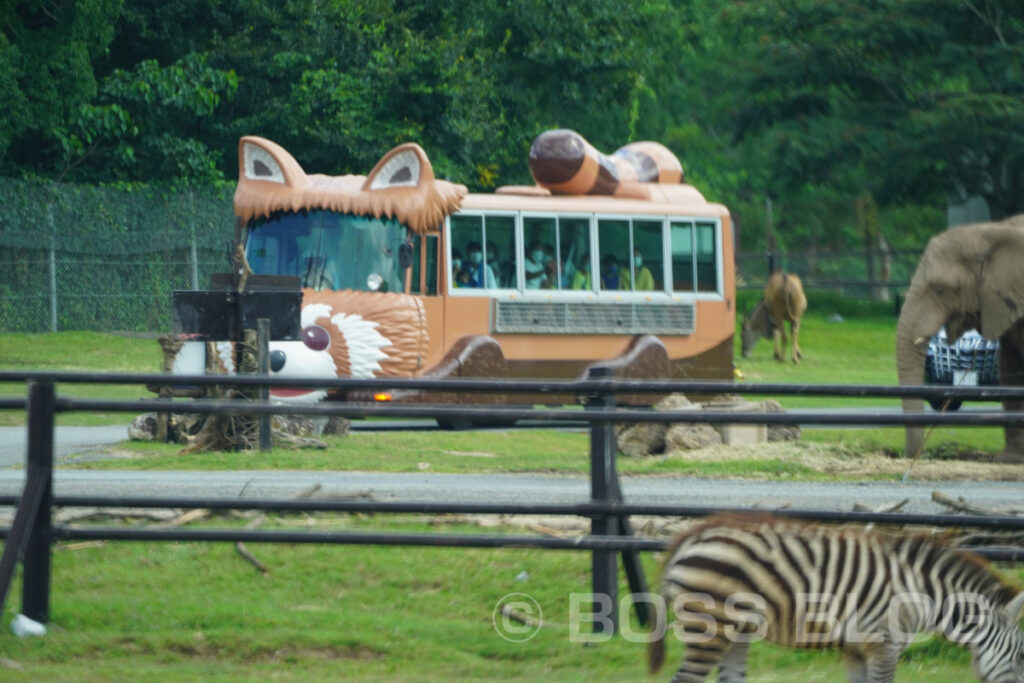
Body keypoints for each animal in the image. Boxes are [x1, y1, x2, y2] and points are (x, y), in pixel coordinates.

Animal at [647, 516, 1024, 679]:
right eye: (1022, 657)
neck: (922, 594)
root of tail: (691, 536)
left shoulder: (856, 648)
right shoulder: (883, 645)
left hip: (737, 631)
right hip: (710, 629)